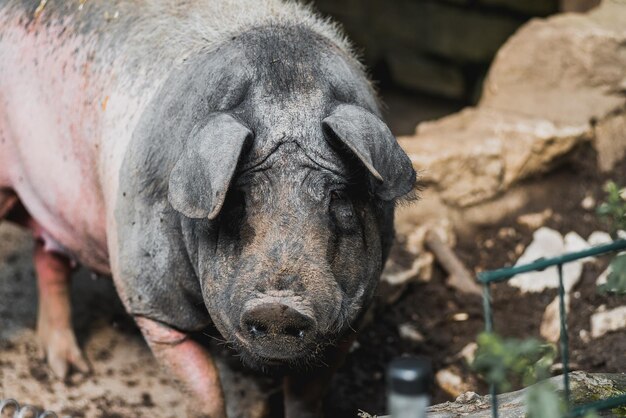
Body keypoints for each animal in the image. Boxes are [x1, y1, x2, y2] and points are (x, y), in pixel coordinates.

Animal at [1, 1, 420, 416]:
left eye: (338, 197)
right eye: (237, 199)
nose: (279, 306)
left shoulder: (354, 313)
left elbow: (306, 395)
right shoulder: (151, 298)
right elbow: (205, 389)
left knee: (49, 257)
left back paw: (70, 370)